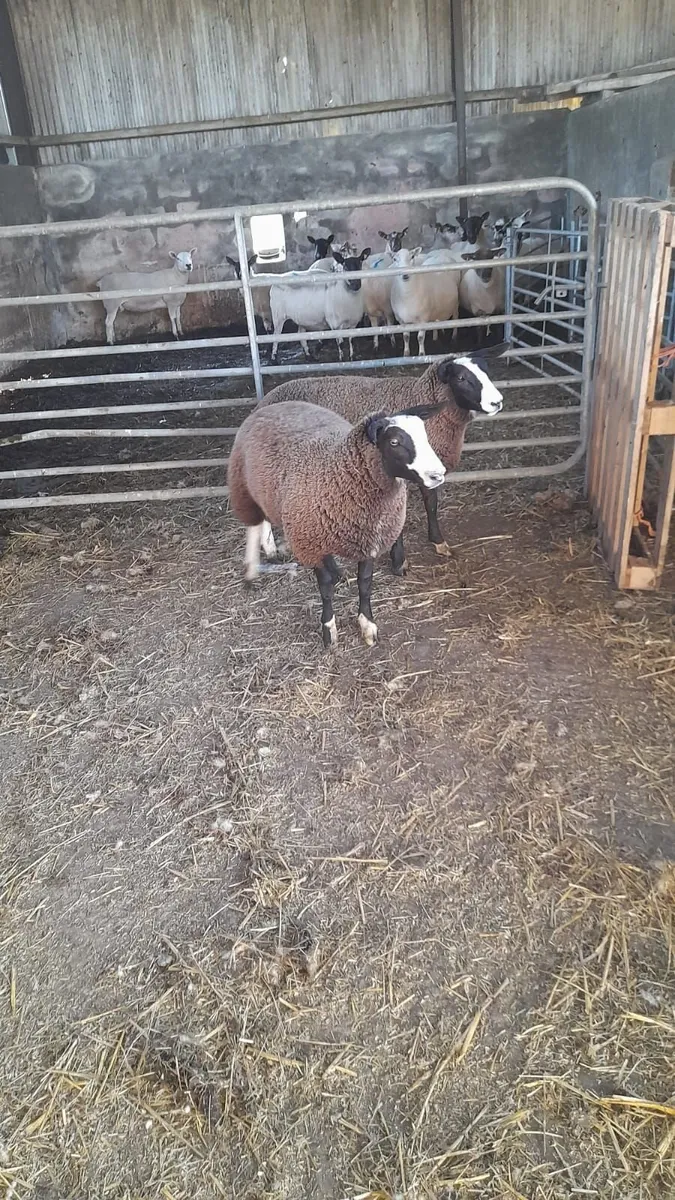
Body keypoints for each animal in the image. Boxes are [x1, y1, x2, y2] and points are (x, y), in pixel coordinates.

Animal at [228, 399, 447, 647]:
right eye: (394, 441)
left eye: (425, 436)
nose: (438, 474)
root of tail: (273, 405)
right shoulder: (310, 542)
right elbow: (325, 588)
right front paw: (328, 630)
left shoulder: (369, 540)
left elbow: (365, 583)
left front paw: (367, 624)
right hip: (243, 487)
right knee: (254, 525)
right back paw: (251, 570)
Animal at [258, 353, 503, 572]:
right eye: (461, 377)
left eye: (486, 370)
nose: (497, 402)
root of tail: (266, 399)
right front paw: (399, 562)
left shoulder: (426, 470)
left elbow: (431, 505)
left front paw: (439, 543)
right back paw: (271, 549)